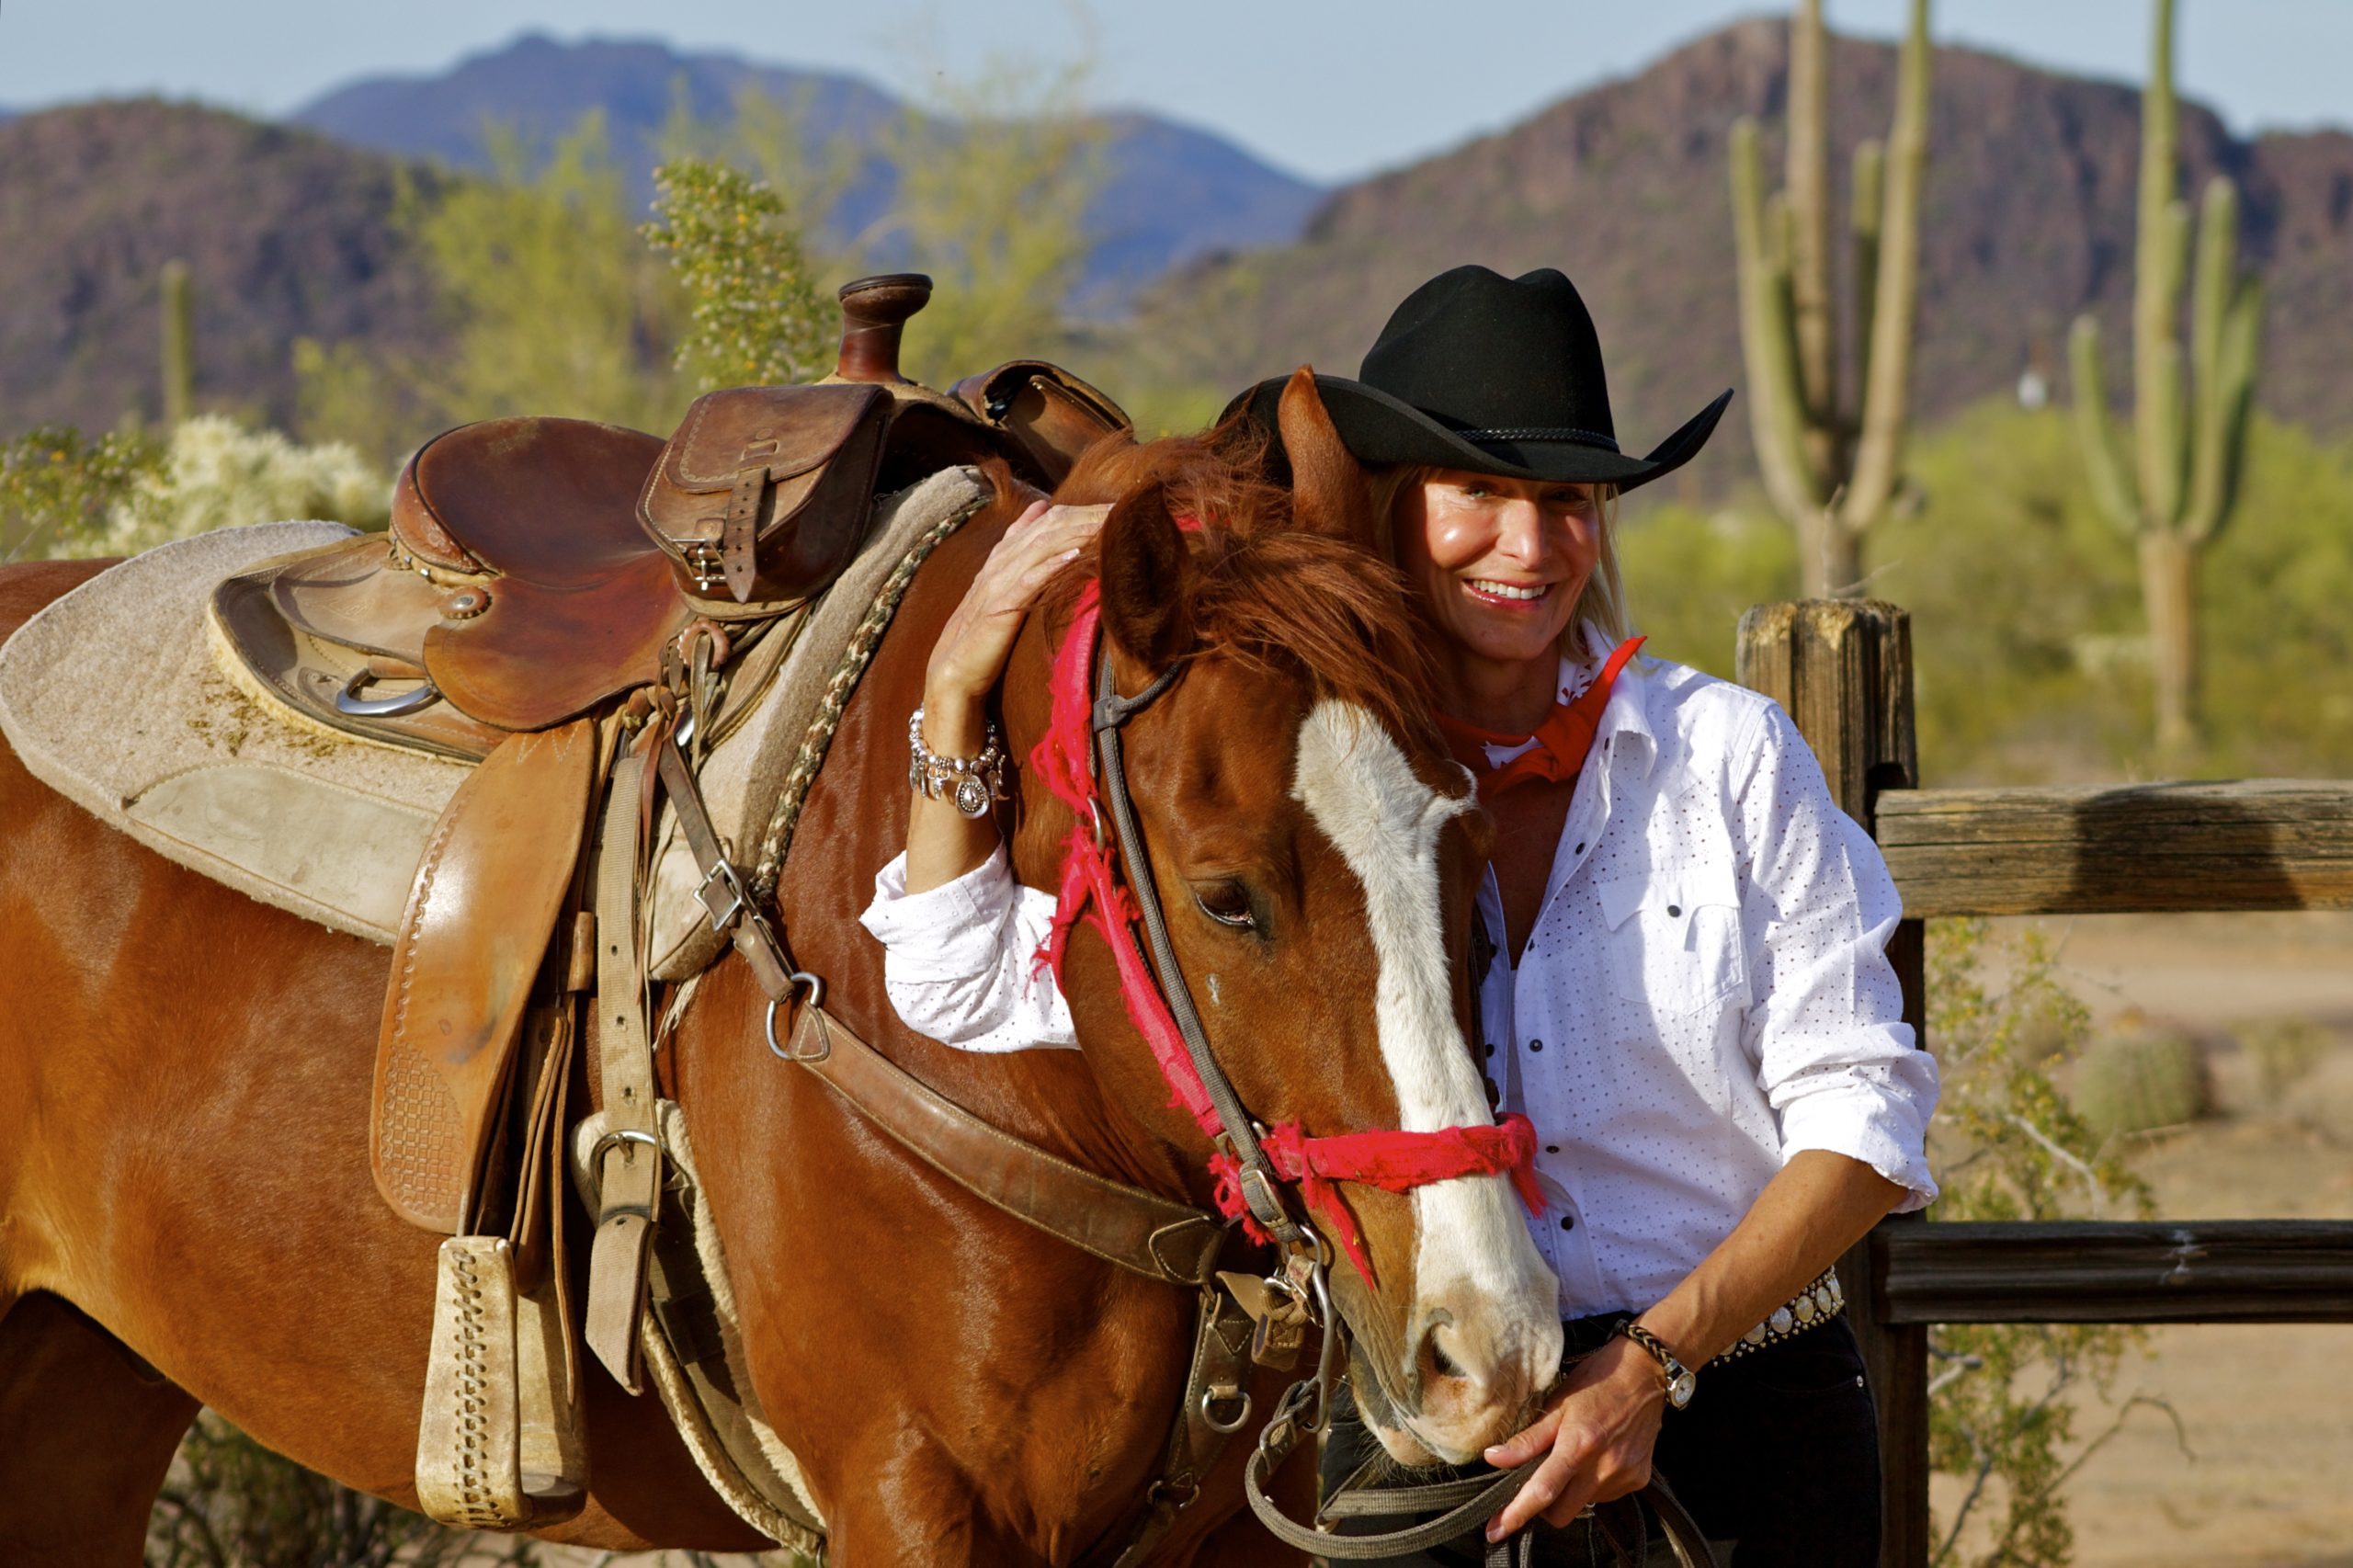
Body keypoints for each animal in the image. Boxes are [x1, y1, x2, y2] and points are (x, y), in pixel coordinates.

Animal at [0, 373, 1563, 1565]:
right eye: (1229, 898)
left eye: (1472, 849)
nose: (1489, 1351)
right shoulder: (912, 1502)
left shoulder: (1237, 1525)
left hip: (84, 1387)